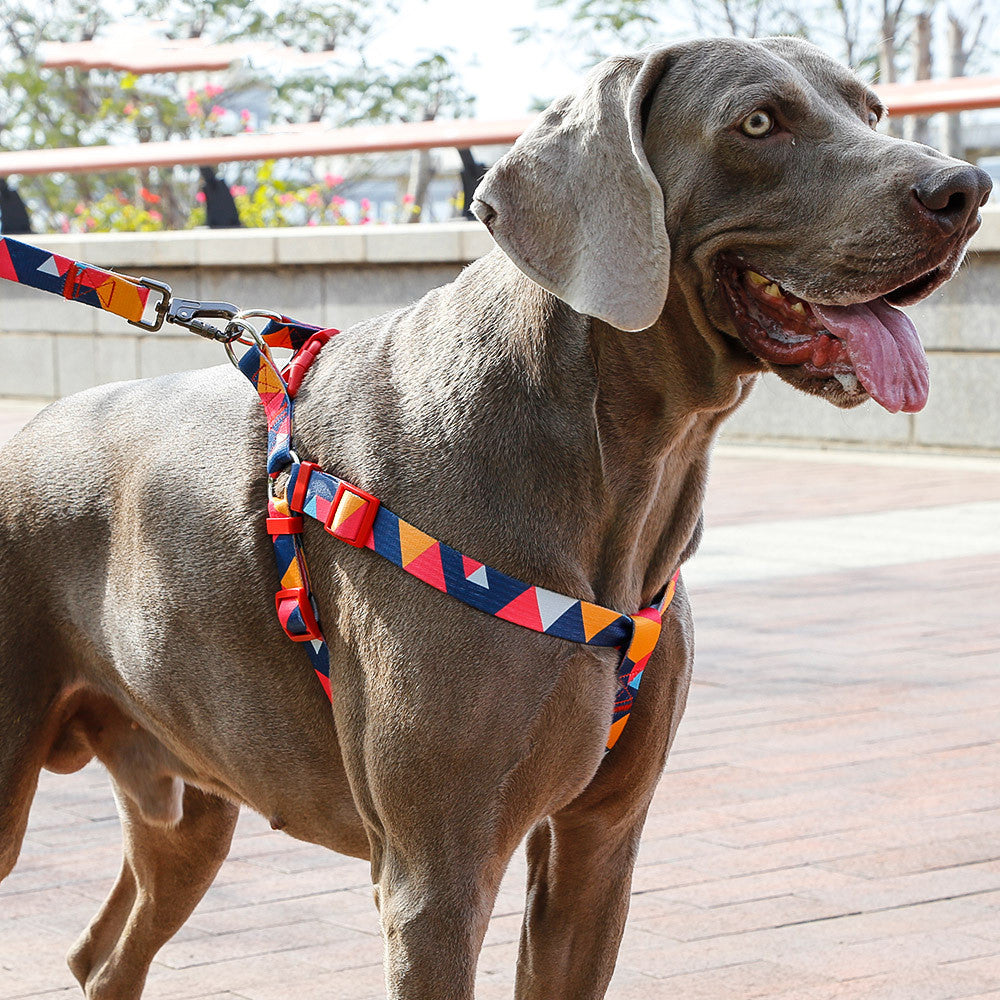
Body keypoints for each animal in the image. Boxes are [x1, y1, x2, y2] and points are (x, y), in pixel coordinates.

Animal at [0, 35, 988, 996]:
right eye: (757, 121)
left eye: (872, 110)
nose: (966, 189)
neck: (620, 467)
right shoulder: (436, 876)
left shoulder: (599, 847)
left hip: (189, 793)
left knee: (102, 956)